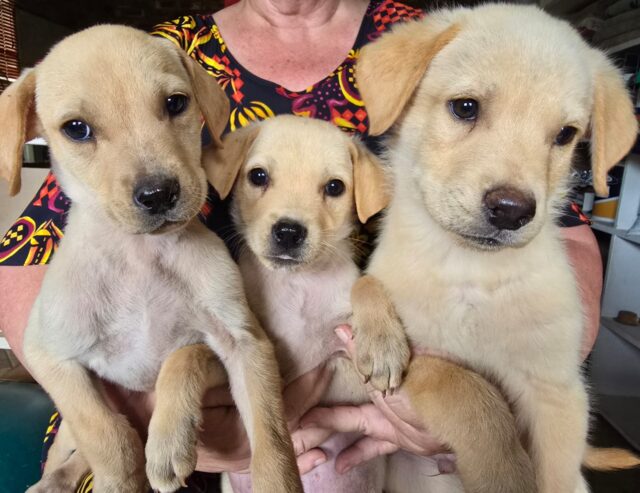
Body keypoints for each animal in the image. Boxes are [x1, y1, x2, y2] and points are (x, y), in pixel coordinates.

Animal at [0, 25, 302, 492]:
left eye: (176, 103)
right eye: (76, 129)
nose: (158, 194)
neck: (139, 256)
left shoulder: (245, 344)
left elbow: (264, 432)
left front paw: (168, 446)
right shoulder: (49, 354)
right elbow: (105, 432)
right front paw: (120, 479)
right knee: (70, 450)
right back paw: (54, 480)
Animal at [352, 3, 636, 492]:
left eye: (565, 135)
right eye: (465, 107)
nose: (511, 211)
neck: (470, 271)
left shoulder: (556, 387)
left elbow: (557, 470)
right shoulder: (425, 360)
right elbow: (471, 394)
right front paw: (379, 341)